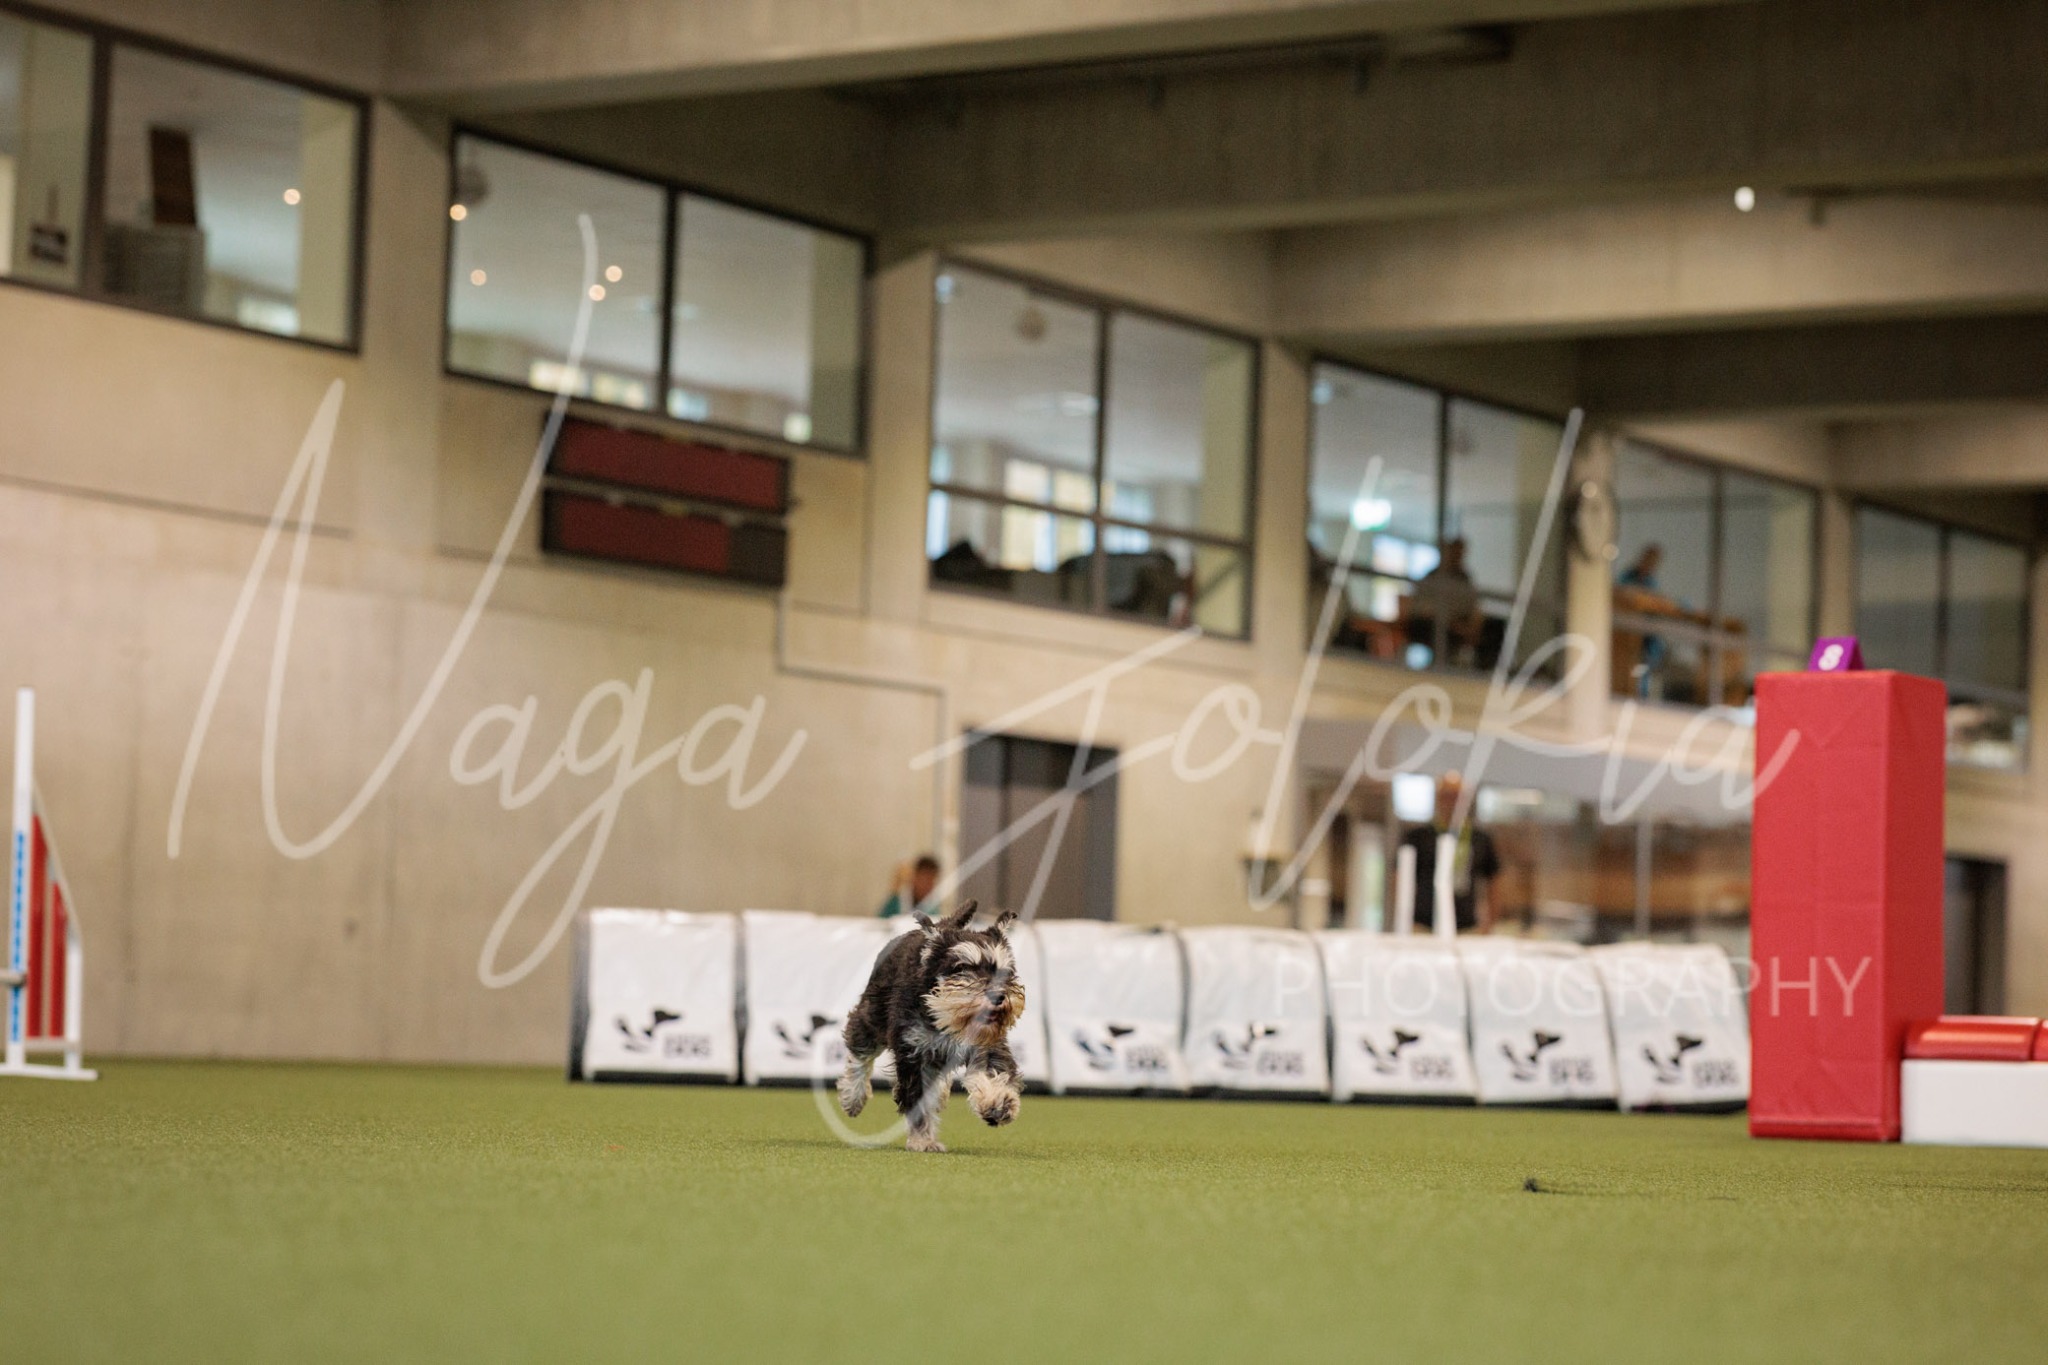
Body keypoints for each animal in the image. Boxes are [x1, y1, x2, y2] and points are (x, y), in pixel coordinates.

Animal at [838, 899, 1026, 1153]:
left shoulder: (987, 1047)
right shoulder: (913, 1055)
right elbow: (918, 1102)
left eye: (1005, 971)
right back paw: (853, 1097)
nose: (998, 996)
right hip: (871, 1015)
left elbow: (992, 1075)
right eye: (962, 967)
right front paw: (923, 1140)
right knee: (859, 1051)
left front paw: (998, 1103)